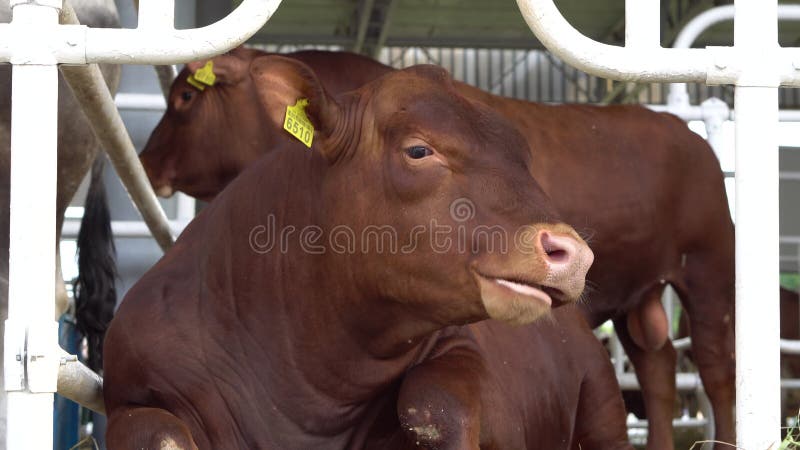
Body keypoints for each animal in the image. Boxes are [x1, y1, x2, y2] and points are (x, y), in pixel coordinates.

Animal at [139, 47, 736, 448]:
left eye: (185, 97)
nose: (144, 162)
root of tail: (684, 131)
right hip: (643, 298)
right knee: (658, 367)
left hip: (710, 271)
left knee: (716, 372)